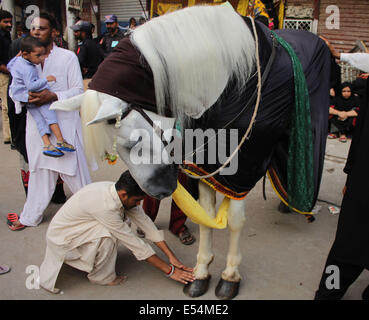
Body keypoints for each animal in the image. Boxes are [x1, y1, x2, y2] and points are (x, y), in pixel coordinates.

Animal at [50, 5, 330, 300]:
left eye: (131, 142)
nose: (159, 190)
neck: (234, 79)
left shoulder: (245, 164)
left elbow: (234, 221)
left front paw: (230, 276)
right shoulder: (207, 165)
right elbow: (205, 216)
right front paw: (201, 272)